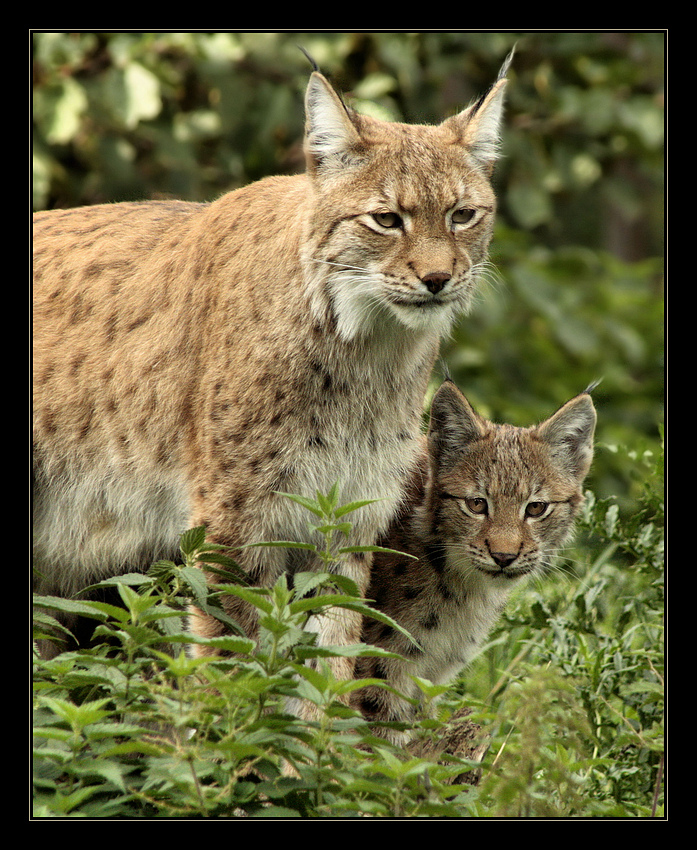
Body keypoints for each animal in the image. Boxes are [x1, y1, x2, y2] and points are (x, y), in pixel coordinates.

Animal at [32, 54, 512, 668]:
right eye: (385, 220)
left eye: (463, 215)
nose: (437, 279)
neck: (364, 346)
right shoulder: (236, 519)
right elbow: (232, 655)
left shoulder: (346, 514)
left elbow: (329, 656)